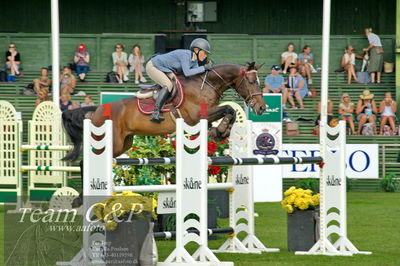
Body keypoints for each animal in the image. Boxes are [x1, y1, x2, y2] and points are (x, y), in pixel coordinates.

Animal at [62, 62, 268, 161]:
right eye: (251, 82)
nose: (261, 108)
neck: (205, 85)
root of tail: (96, 110)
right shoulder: (196, 116)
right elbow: (228, 108)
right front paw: (222, 131)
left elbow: (228, 112)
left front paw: (219, 131)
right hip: (110, 142)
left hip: (123, 144)